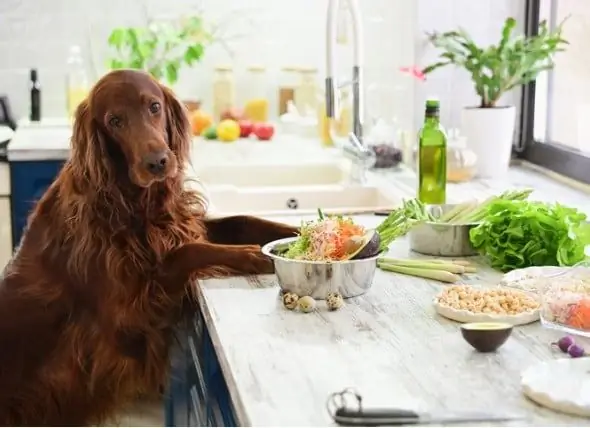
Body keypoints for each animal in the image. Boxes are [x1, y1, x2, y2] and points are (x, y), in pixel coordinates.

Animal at [0, 69, 298, 424]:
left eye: (154, 107)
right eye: (115, 120)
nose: (157, 162)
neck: (132, 201)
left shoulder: (182, 225)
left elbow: (243, 220)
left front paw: (307, 231)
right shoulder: (128, 313)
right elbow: (186, 252)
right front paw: (250, 255)